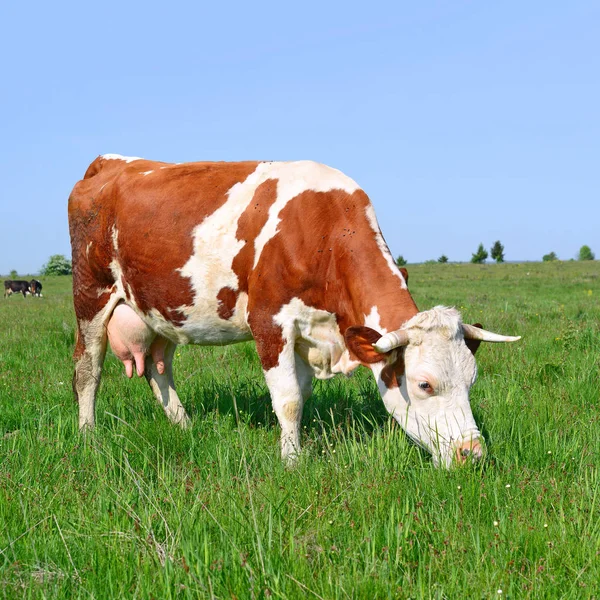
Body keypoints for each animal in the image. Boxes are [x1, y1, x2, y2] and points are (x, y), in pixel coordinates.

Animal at [68, 152, 520, 466]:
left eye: (472, 380)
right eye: (424, 384)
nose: (472, 455)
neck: (322, 231)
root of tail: (110, 162)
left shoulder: (311, 331)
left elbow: (300, 394)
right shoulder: (270, 321)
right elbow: (287, 399)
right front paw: (292, 461)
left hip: (164, 308)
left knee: (159, 367)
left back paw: (186, 427)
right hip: (91, 294)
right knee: (88, 369)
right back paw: (88, 436)